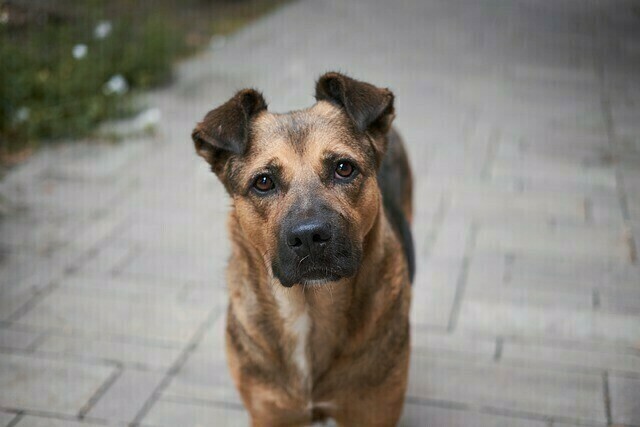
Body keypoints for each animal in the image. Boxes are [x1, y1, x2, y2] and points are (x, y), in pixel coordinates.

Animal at [191, 72, 416, 426]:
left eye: (344, 168)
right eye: (263, 182)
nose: (310, 237)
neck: (309, 308)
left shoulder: (372, 412)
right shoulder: (270, 414)